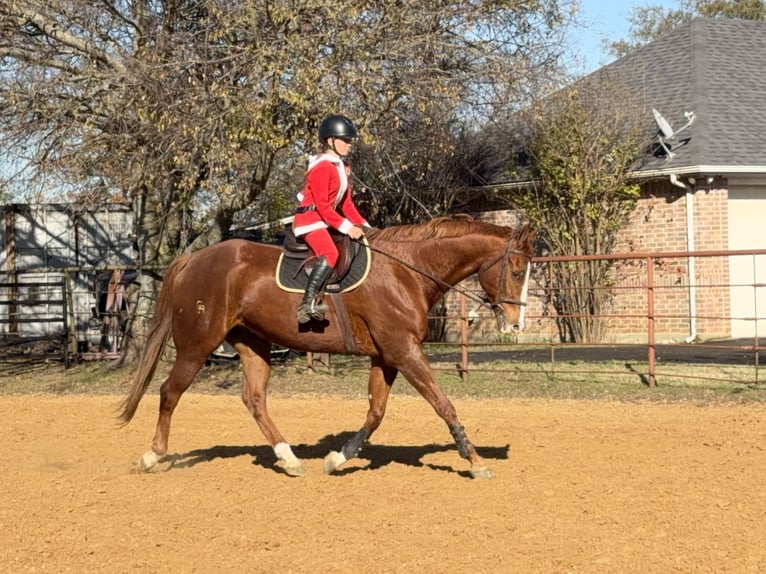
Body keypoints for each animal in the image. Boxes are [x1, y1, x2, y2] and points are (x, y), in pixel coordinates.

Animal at [119, 216, 536, 479]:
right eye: (517, 272)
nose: (516, 324)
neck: (406, 270)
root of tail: (192, 259)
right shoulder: (404, 351)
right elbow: (443, 404)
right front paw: (475, 459)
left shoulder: (387, 357)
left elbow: (375, 413)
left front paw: (337, 459)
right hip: (196, 346)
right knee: (170, 391)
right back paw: (152, 455)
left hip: (252, 345)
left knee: (254, 399)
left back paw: (288, 458)